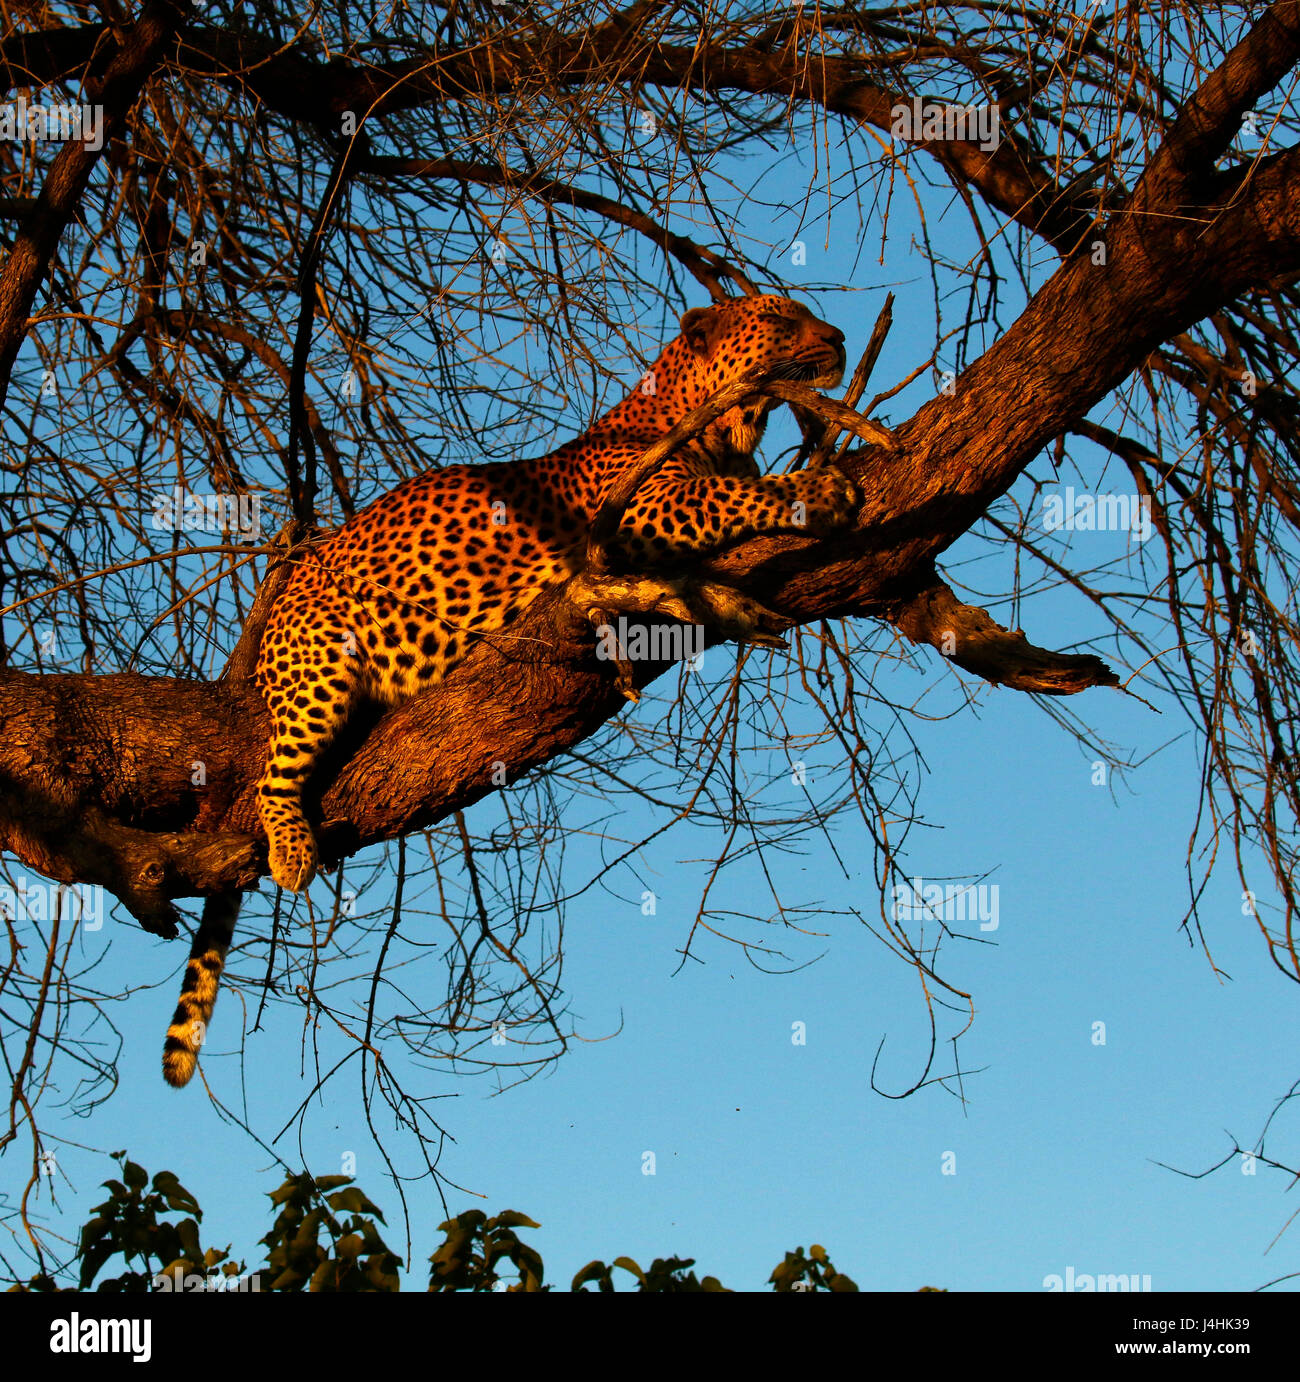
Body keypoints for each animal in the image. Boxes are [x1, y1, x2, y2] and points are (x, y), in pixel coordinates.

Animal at [159, 294, 851, 1089]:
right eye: (782, 318)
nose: (838, 339)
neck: (723, 425)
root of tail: (279, 598)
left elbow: (697, 579)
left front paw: (736, 605)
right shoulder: (648, 506)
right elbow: (739, 495)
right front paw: (819, 490)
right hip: (320, 667)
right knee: (273, 778)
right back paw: (293, 851)